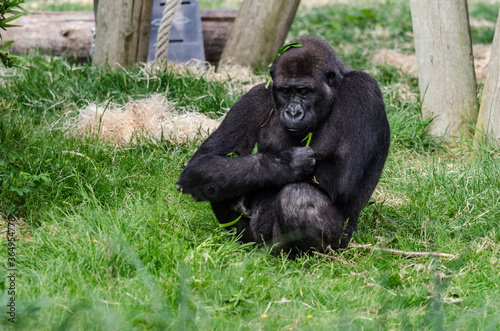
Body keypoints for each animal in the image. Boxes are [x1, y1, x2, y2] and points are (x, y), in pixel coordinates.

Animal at [176, 36, 390, 256]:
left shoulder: (363, 91)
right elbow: (203, 161)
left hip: (336, 243)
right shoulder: (256, 96)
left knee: (297, 197)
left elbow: (342, 177)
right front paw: (287, 164)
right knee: (217, 179)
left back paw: (308, 255)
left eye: (304, 92)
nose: (293, 112)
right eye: (285, 92)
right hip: (253, 241)